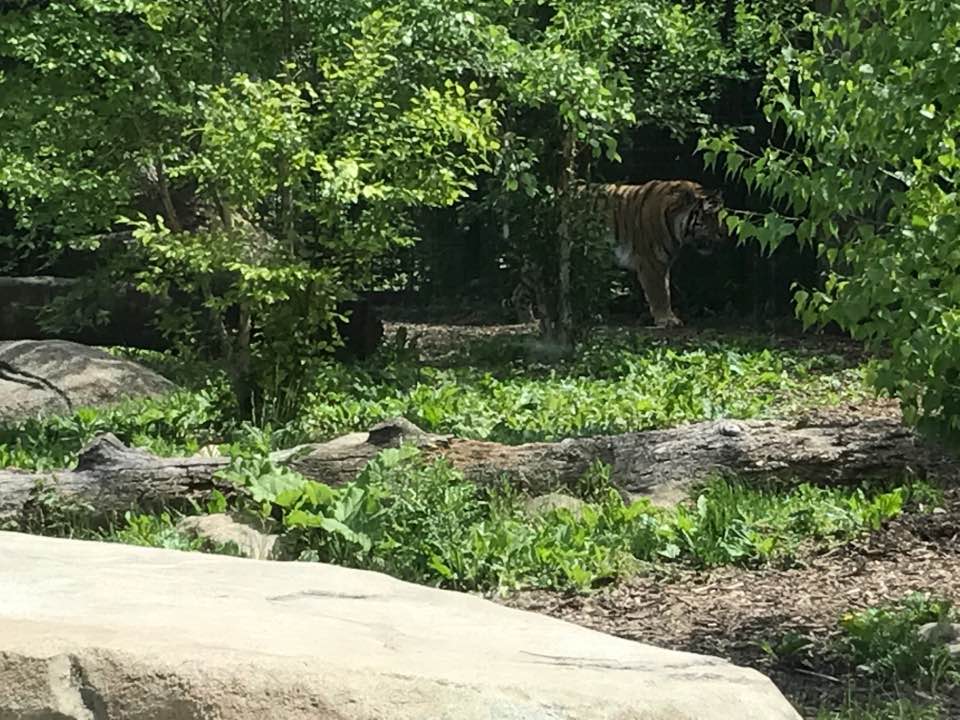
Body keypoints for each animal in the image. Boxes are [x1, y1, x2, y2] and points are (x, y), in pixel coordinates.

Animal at [593, 180, 725, 328]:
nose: (723, 234)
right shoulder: (651, 261)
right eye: (708, 216)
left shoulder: (663, 263)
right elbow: (659, 293)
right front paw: (667, 320)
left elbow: (665, 290)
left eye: (721, 216)